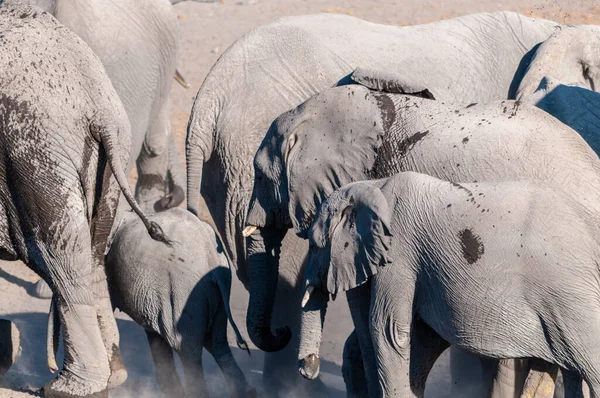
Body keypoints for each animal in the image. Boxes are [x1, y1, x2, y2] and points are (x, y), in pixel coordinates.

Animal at [0, 4, 168, 396]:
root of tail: (95, 101)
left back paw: (68, 387)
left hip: (34, 151)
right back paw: (114, 376)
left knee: (61, 257)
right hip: (110, 149)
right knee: (92, 250)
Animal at [302, 172, 600, 398]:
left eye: (315, 245)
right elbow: (406, 335)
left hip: (571, 295)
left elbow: (391, 331)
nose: (309, 366)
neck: (373, 186)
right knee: (573, 373)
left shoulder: (401, 251)